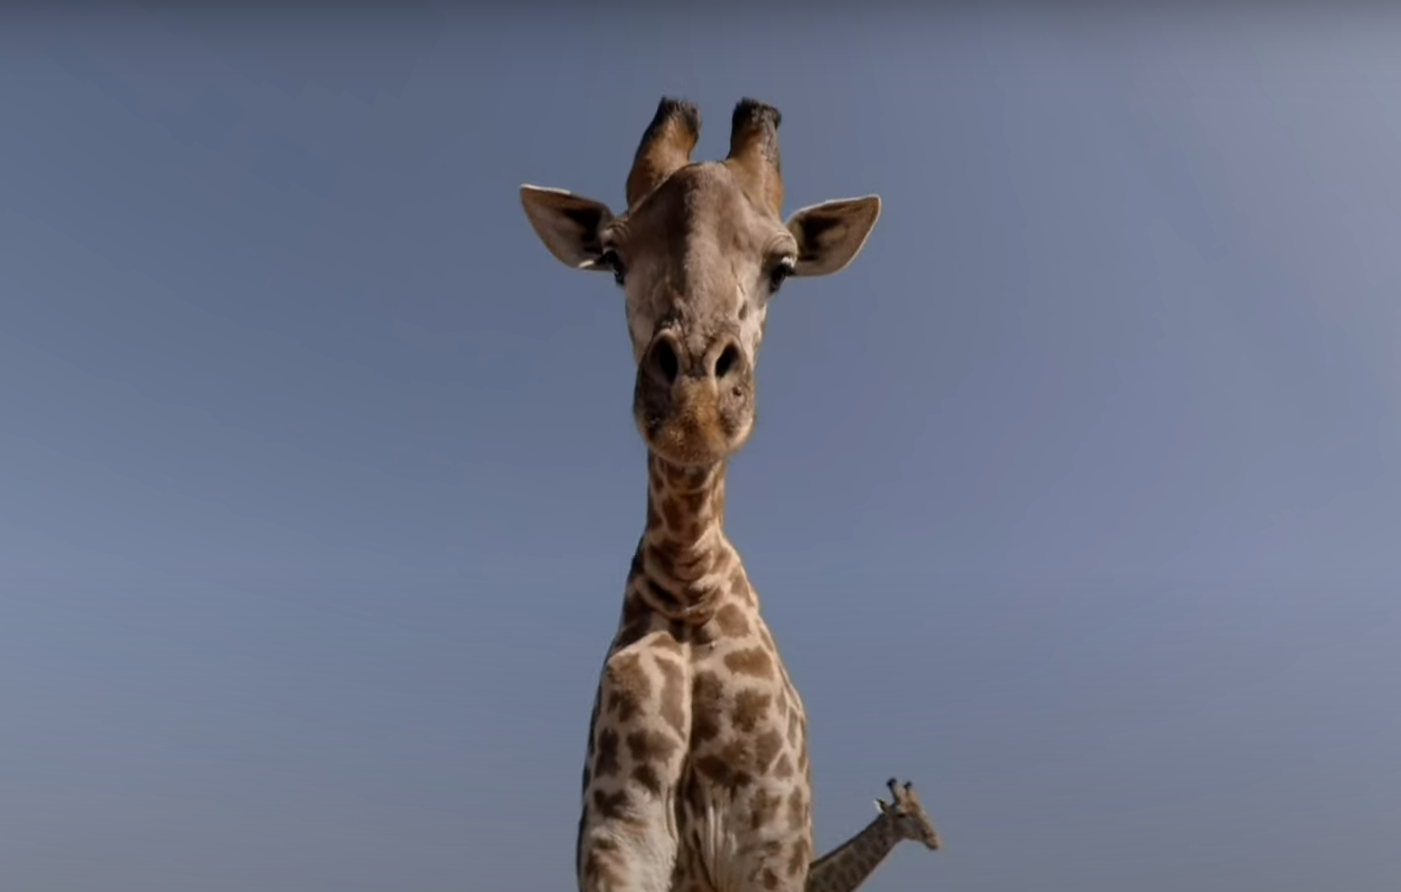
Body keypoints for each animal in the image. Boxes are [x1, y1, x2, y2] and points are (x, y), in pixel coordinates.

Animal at [519, 96, 883, 892]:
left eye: (783, 267)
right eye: (613, 259)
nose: (694, 408)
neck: (690, 584)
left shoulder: (772, 839)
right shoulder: (620, 829)